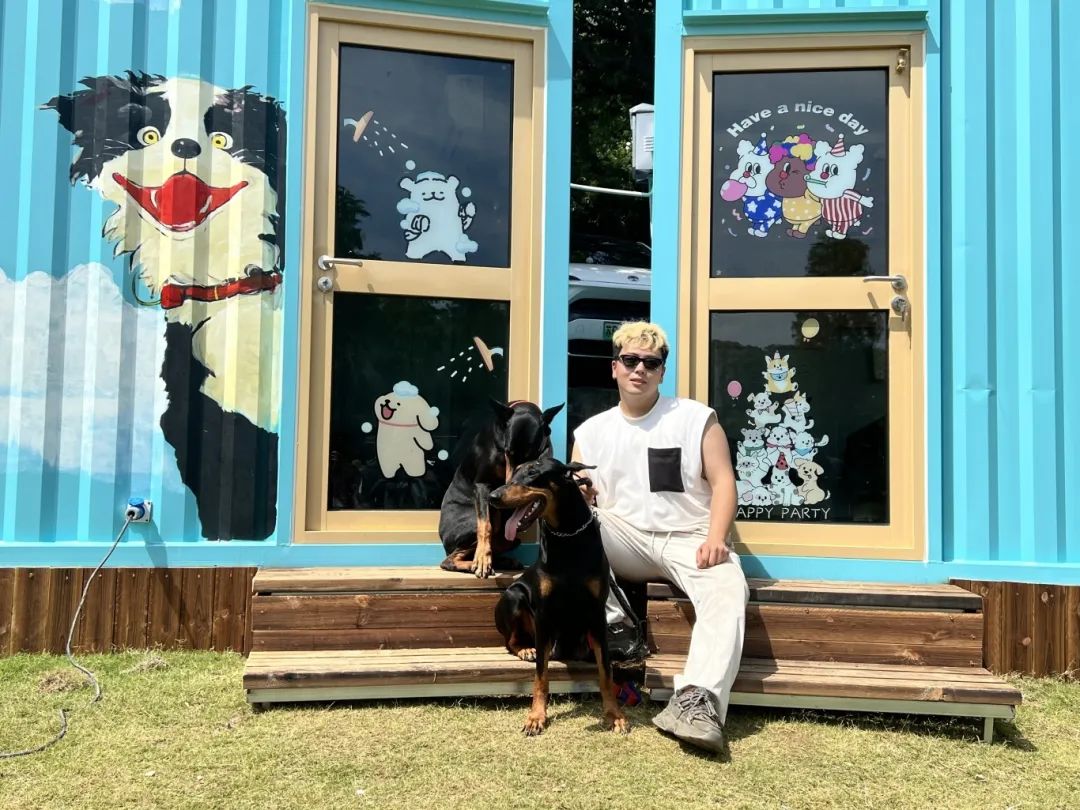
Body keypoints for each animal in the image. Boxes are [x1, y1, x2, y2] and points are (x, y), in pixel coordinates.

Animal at [439, 400, 563, 577]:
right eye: (508, 452)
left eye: (530, 456)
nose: (510, 484)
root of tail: (443, 537)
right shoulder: (483, 483)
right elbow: (485, 526)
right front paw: (482, 560)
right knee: (449, 559)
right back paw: (474, 564)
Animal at [491, 457, 630, 736]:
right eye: (513, 474)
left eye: (533, 473)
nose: (493, 496)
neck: (567, 536)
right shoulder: (543, 615)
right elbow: (541, 675)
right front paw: (536, 716)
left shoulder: (597, 615)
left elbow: (605, 671)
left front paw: (614, 715)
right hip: (515, 595)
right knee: (511, 641)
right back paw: (526, 649)